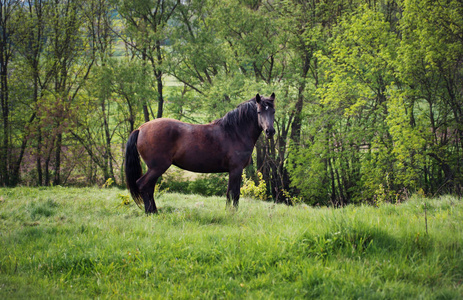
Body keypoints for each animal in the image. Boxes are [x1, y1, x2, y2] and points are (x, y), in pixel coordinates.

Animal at [124, 94, 276, 213]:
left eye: (273, 111)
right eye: (259, 112)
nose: (270, 132)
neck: (235, 132)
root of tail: (141, 128)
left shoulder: (234, 171)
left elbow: (232, 193)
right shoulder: (235, 170)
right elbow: (233, 193)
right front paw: (231, 213)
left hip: (155, 168)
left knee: (149, 187)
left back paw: (154, 212)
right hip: (157, 167)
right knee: (143, 185)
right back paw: (150, 213)